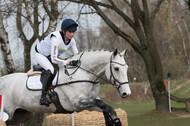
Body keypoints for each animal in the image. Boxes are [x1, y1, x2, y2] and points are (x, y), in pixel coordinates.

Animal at [0, 48, 131, 125]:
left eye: (127, 68)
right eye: (116, 68)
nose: (126, 93)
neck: (83, 73)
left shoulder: (89, 104)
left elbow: (108, 108)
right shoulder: (77, 103)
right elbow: (103, 105)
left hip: (20, 115)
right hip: (8, 113)